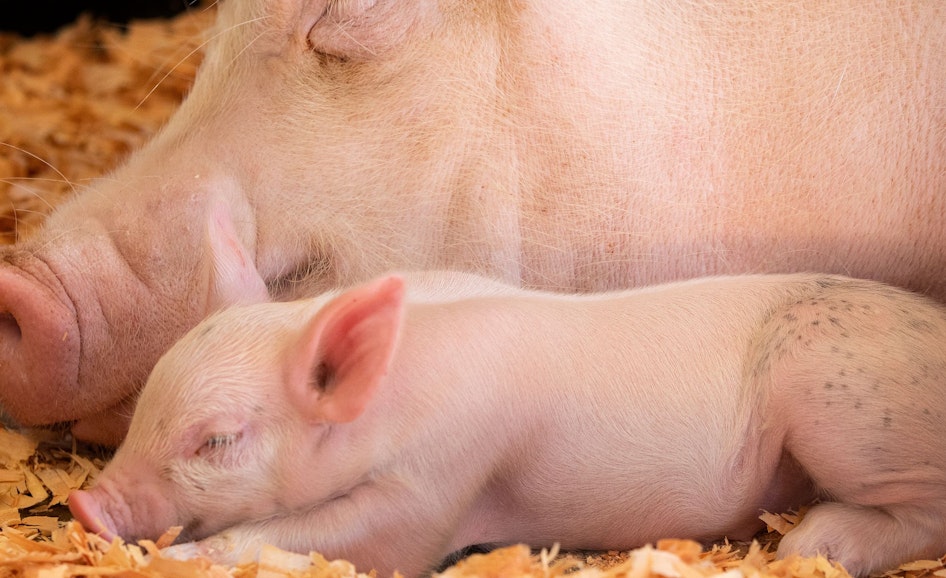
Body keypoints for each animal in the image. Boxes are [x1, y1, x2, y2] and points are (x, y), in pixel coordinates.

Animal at [68, 212, 946, 577]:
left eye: (216, 441)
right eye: (144, 411)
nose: (86, 505)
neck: (394, 399)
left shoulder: (445, 478)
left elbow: (357, 539)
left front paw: (181, 558)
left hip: (837, 398)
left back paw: (815, 546)